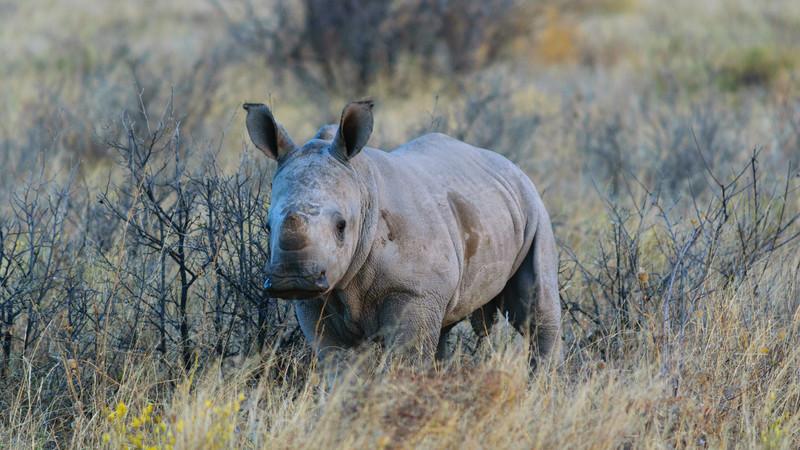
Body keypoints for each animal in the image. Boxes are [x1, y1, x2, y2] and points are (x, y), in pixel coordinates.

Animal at [244, 100, 564, 368]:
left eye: (341, 226)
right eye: (267, 226)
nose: (293, 278)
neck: (363, 189)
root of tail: (510, 164)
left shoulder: (415, 291)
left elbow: (406, 358)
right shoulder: (314, 302)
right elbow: (339, 364)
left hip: (533, 207)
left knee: (537, 312)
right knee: (445, 327)